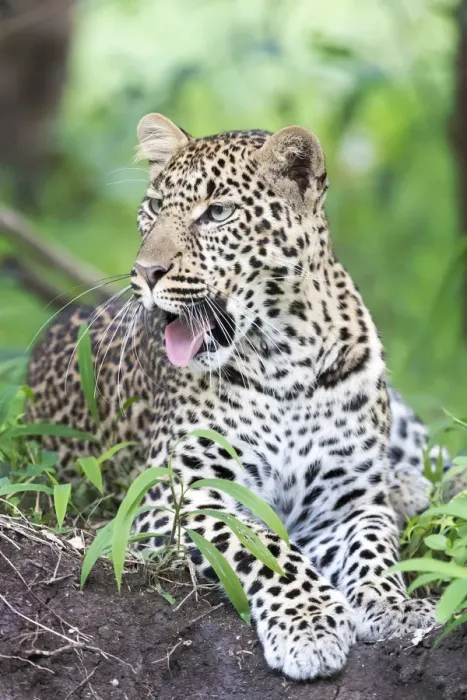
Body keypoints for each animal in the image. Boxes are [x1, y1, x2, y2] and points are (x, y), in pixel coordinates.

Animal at [27, 113, 443, 681]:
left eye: (217, 214)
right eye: (154, 206)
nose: (146, 273)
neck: (284, 358)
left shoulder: (348, 502)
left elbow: (374, 547)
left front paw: (393, 605)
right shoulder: (179, 498)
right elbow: (265, 545)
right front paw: (309, 624)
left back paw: (405, 486)